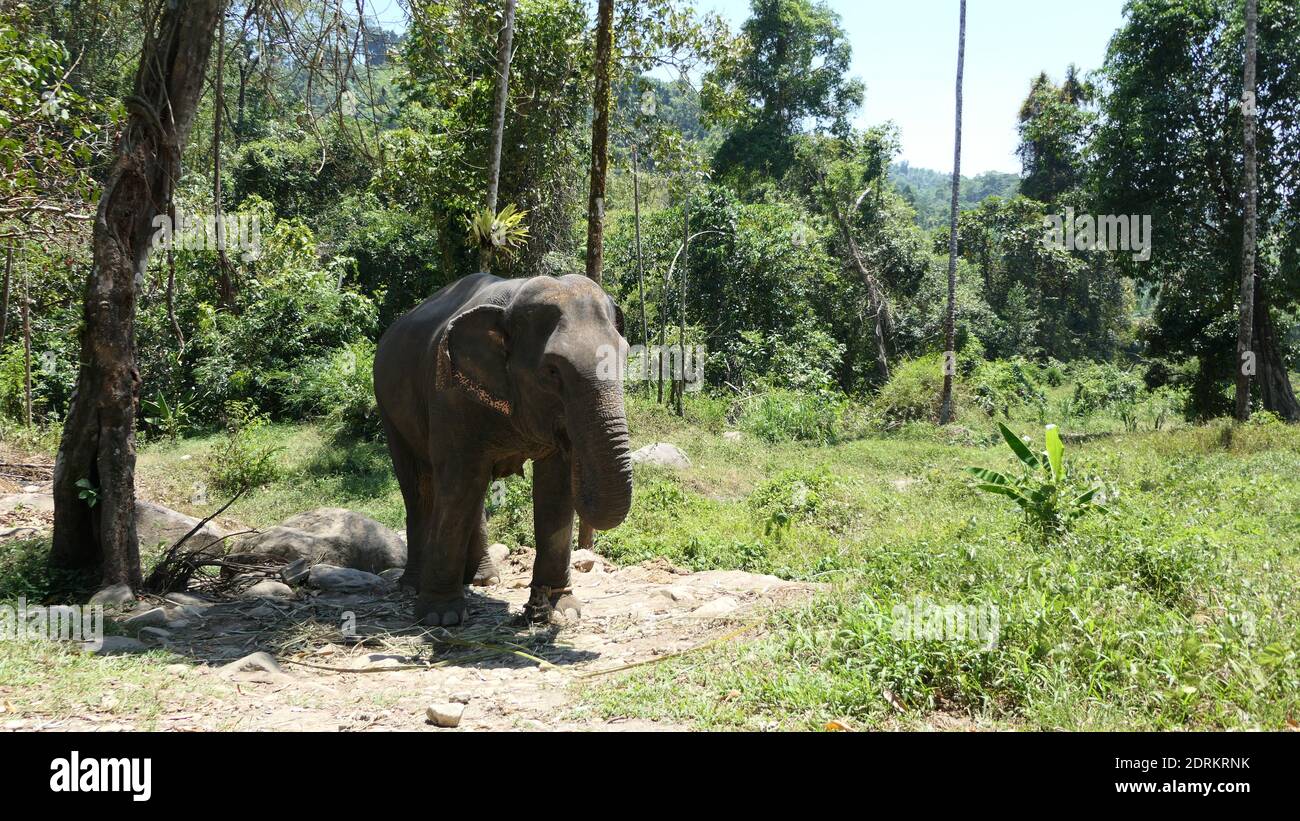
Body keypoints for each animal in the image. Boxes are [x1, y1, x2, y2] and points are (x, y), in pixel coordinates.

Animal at [374, 272, 631, 626]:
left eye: (626, 356)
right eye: (552, 371)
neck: (512, 301)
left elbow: (554, 488)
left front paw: (557, 609)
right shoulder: (449, 395)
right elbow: (457, 482)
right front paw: (441, 616)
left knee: (474, 491)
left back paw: (484, 579)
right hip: (388, 408)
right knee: (420, 489)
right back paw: (412, 585)